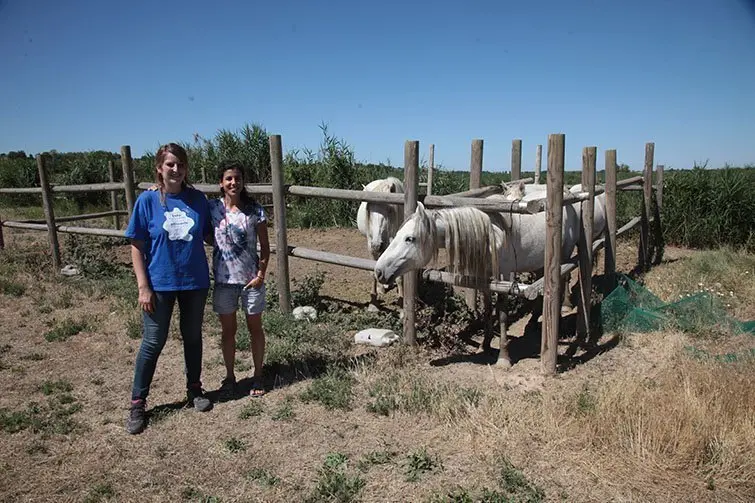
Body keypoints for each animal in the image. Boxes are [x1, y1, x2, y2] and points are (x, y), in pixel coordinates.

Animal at [358, 177, 404, 308]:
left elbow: (400, 277)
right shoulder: (370, 245)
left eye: (389, 209)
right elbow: (373, 271)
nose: (376, 245)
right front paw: (373, 301)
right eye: (368, 209)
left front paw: (401, 302)